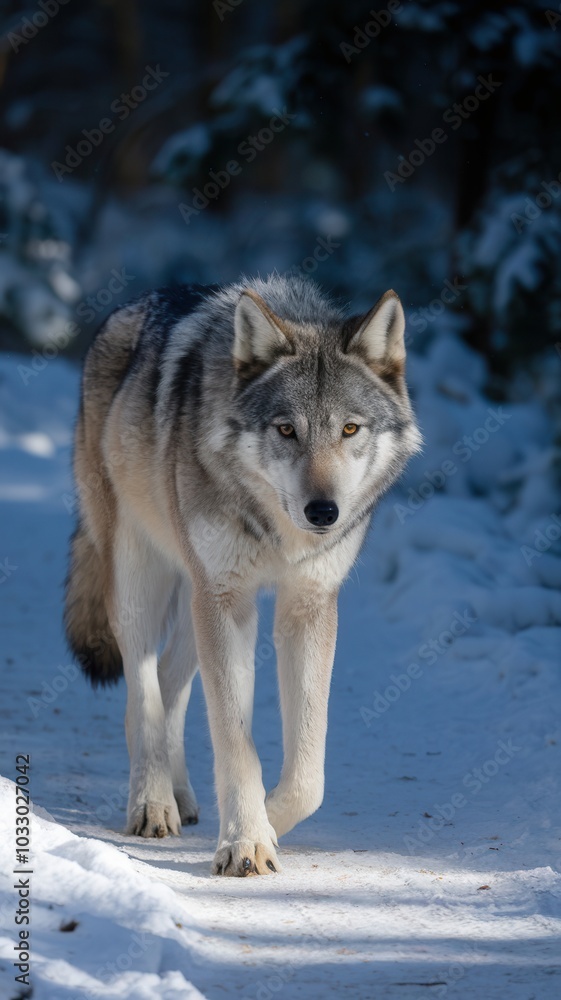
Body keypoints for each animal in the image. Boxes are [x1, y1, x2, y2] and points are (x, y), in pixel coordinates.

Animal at [64, 274, 421, 876]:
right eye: (287, 430)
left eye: (350, 429)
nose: (323, 512)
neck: (277, 531)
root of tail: (128, 306)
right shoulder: (226, 601)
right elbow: (236, 742)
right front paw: (247, 838)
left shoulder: (305, 604)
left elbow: (308, 774)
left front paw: (269, 821)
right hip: (143, 580)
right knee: (142, 694)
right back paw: (153, 803)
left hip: (195, 602)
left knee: (169, 682)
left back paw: (181, 795)